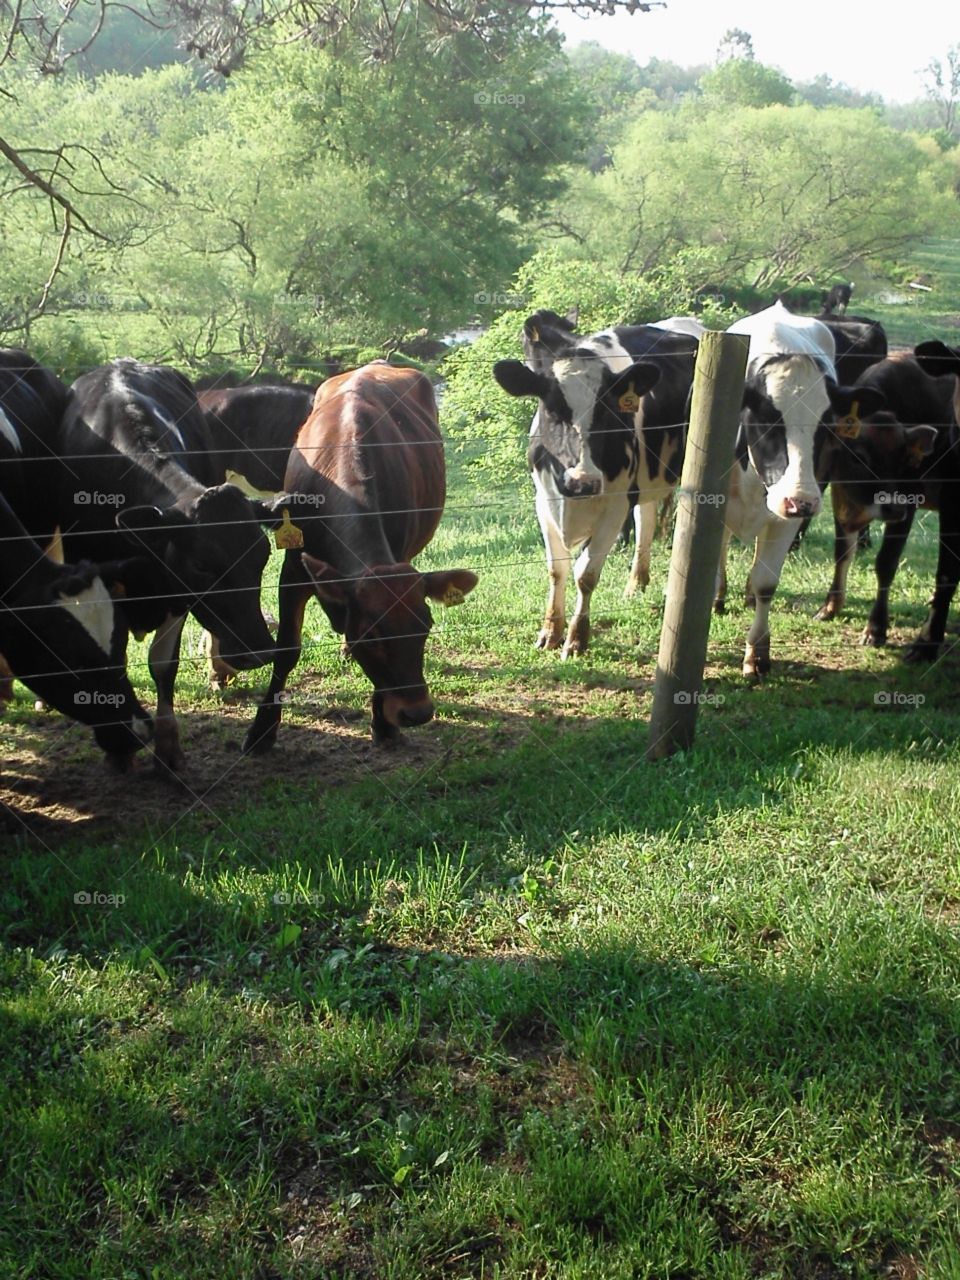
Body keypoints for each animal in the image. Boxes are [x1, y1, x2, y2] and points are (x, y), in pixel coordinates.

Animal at [57, 358, 282, 774]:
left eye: (262, 557)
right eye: (201, 565)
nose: (259, 651)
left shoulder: (176, 592)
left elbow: (163, 665)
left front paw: (168, 750)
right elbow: (114, 658)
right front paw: (119, 751)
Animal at [243, 361, 477, 753]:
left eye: (425, 625)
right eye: (370, 635)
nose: (417, 712)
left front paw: (382, 723)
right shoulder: (293, 571)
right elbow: (287, 649)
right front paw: (262, 730)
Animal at [493, 314, 699, 656]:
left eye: (608, 412)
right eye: (551, 409)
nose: (583, 481)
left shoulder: (615, 506)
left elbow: (586, 574)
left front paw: (577, 638)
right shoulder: (544, 503)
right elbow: (557, 569)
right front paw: (550, 631)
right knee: (646, 518)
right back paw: (636, 585)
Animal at [718, 302, 885, 676]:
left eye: (827, 426)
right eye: (768, 420)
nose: (801, 501)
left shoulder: (785, 519)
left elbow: (766, 582)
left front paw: (757, 655)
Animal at [814, 347, 960, 656]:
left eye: (904, 460)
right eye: (858, 457)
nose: (892, 506)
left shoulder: (909, 502)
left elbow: (886, 563)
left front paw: (876, 628)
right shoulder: (840, 495)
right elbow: (842, 552)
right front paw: (830, 606)